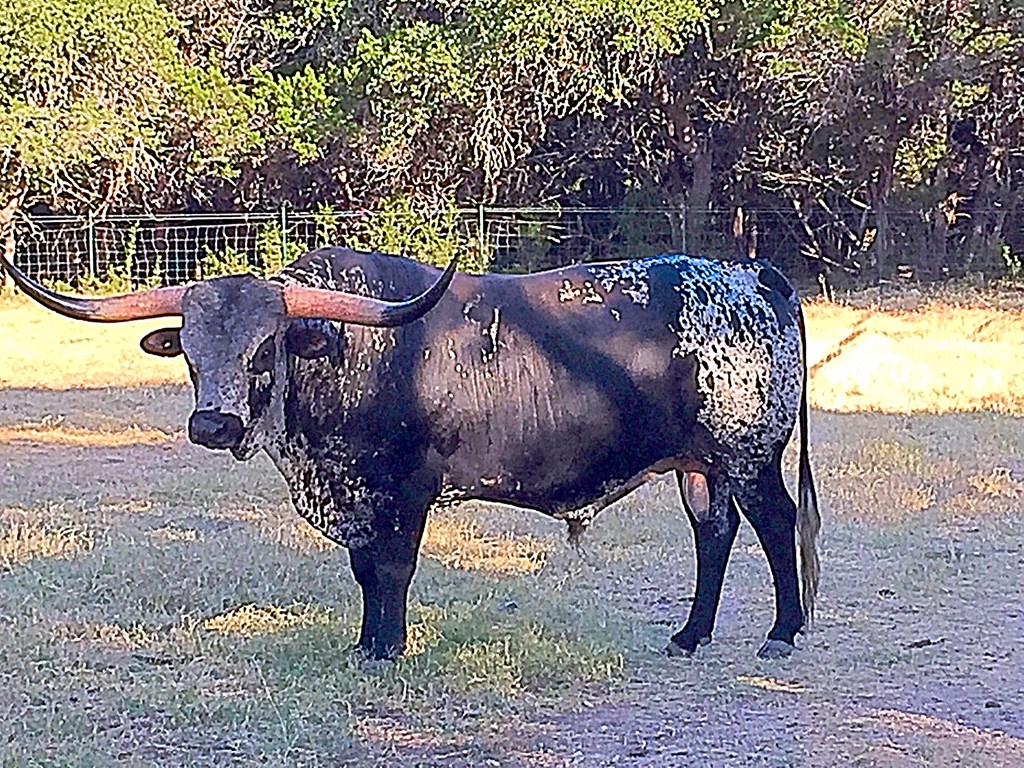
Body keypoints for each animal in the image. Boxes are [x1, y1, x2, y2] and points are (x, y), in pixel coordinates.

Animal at [1, 247, 820, 661]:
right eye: (192, 354)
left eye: (265, 348)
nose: (213, 426)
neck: (352, 353)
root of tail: (751, 275)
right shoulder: (359, 498)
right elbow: (366, 573)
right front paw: (367, 642)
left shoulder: (403, 491)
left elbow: (391, 570)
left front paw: (387, 649)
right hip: (699, 464)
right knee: (714, 534)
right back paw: (691, 635)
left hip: (750, 455)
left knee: (776, 526)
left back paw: (782, 635)